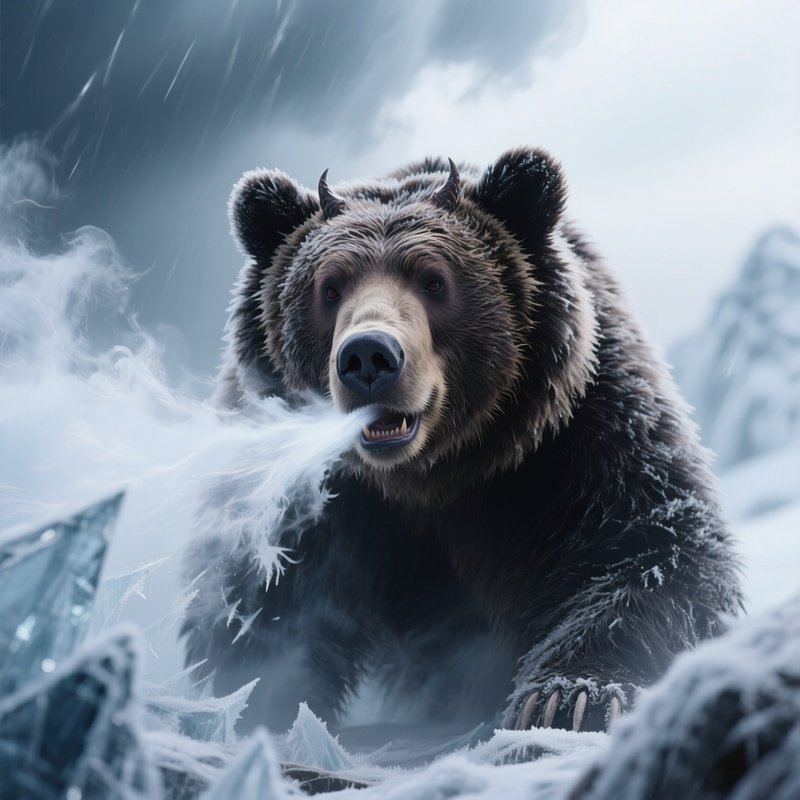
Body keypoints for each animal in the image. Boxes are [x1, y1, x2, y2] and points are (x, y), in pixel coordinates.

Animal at [181, 148, 743, 734]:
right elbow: (262, 594)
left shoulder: (579, 435)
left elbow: (647, 547)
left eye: (434, 281)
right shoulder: (301, 489)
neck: (430, 473)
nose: (368, 356)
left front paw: (571, 697)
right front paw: (256, 704)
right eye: (329, 288)